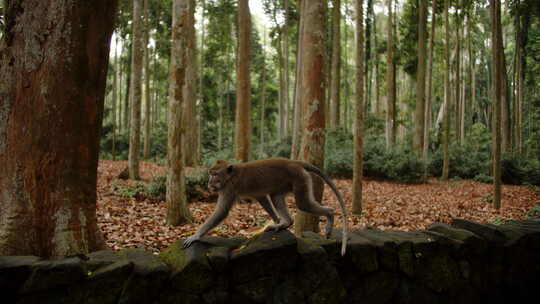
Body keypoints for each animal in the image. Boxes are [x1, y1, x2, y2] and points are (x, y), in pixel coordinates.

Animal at [182, 158, 350, 255]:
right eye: (210, 174)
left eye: (215, 174)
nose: (209, 183)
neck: (230, 175)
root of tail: (295, 162)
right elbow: (262, 197)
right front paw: (277, 221)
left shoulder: (229, 189)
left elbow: (221, 212)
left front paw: (195, 235)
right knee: (276, 196)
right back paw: (285, 223)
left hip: (300, 178)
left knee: (303, 204)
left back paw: (330, 214)